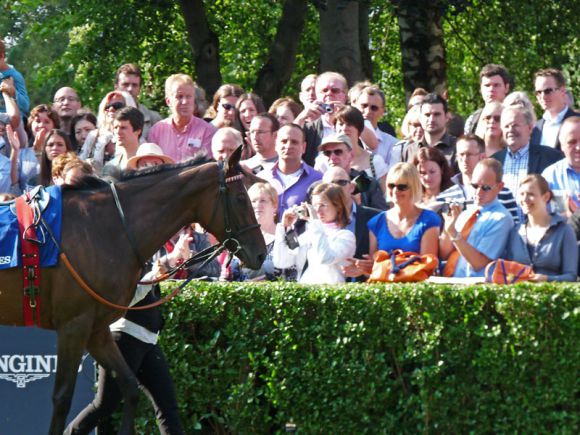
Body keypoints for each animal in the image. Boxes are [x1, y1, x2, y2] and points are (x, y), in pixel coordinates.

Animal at [0, 148, 268, 434]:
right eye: (241, 198)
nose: (261, 254)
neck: (102, 227)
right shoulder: (73, 325)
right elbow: (62, 398)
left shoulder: (96, 329)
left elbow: (129, 387)